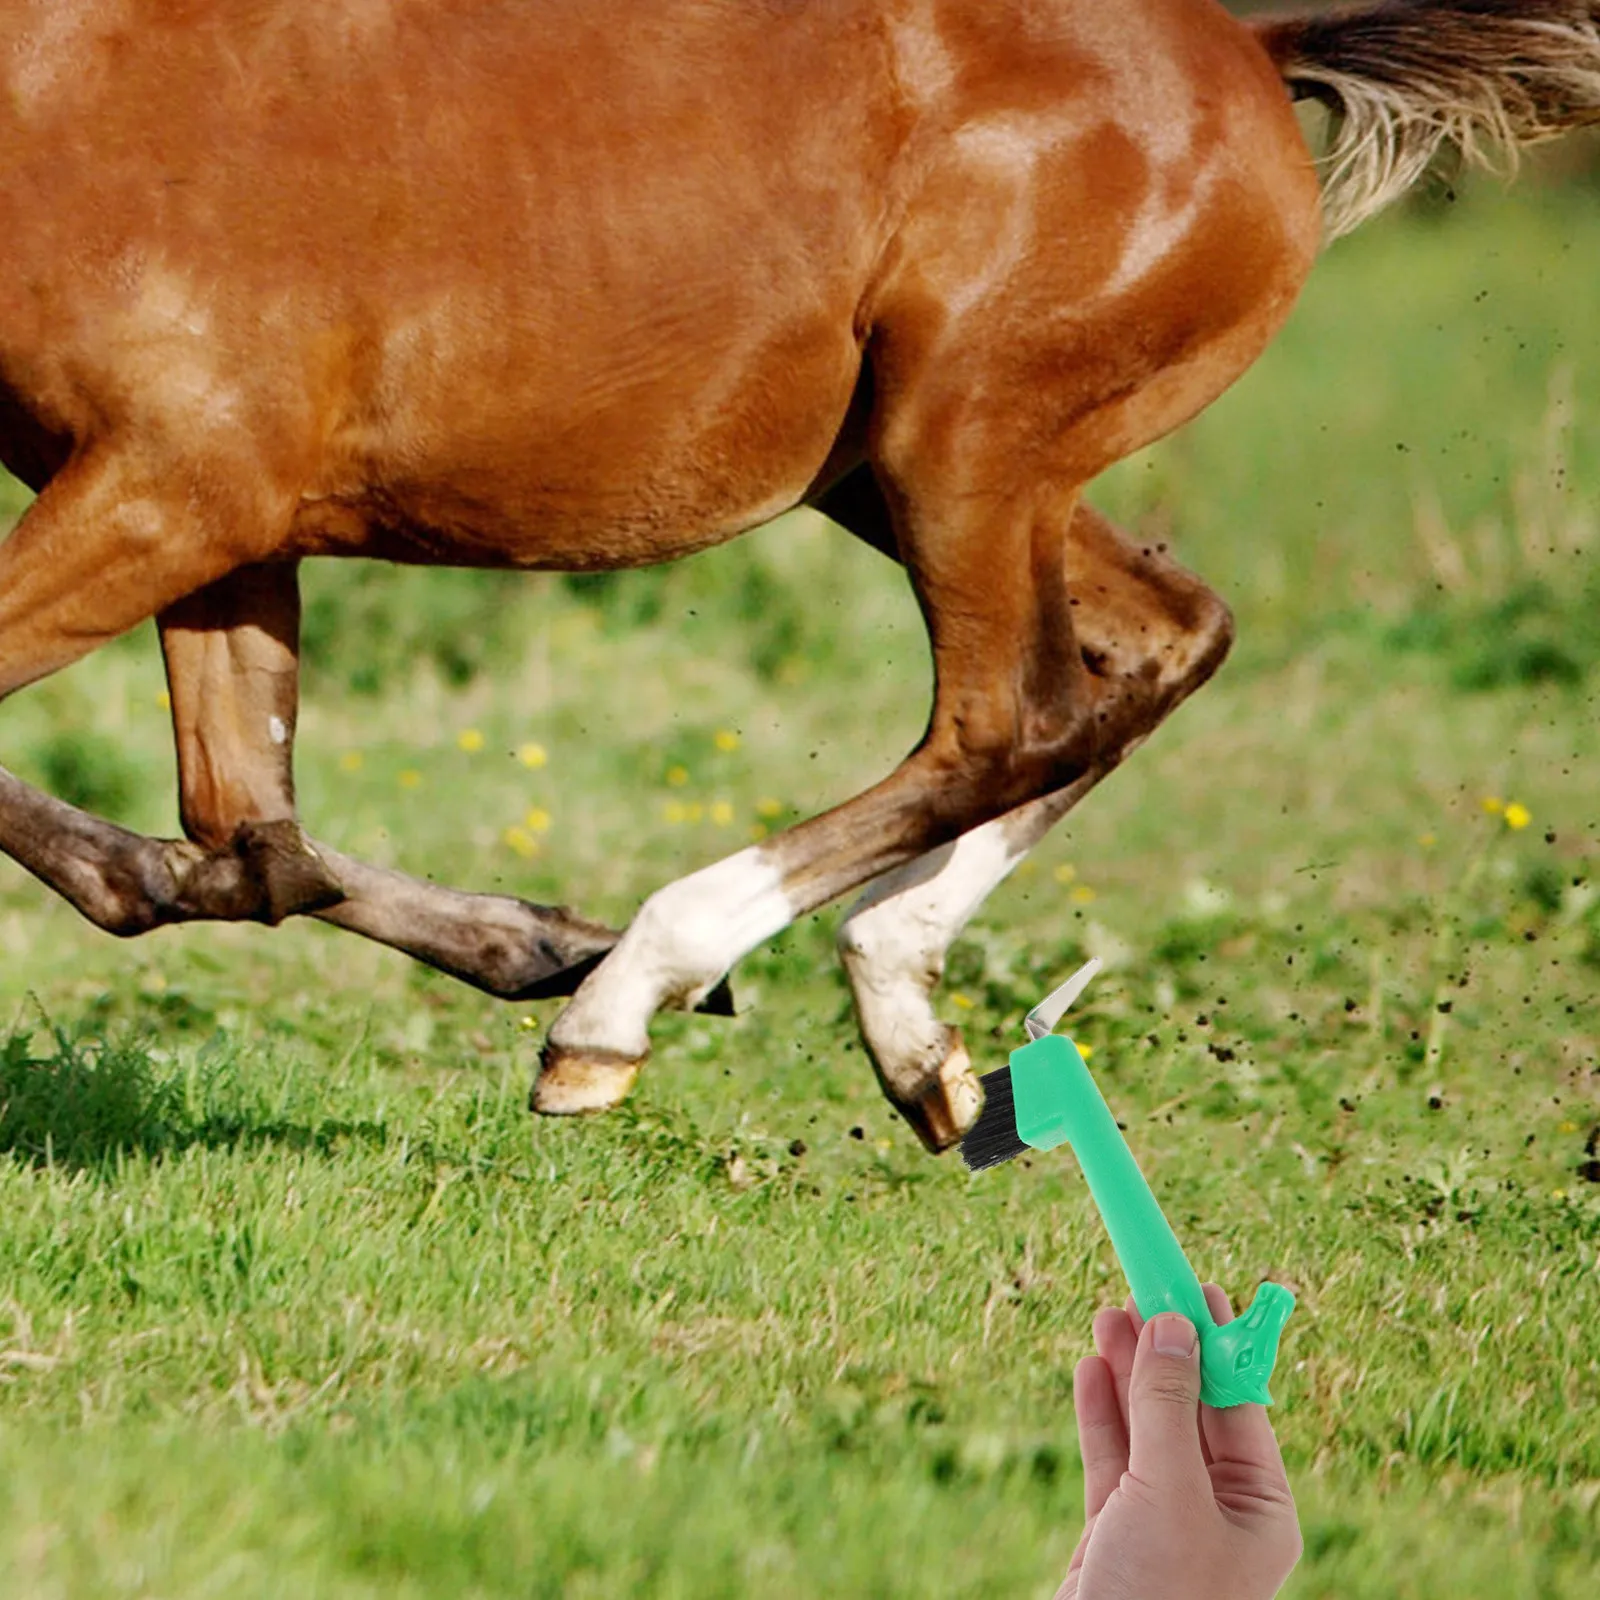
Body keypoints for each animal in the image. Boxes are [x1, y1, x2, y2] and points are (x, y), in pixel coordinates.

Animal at [1, 0, 1597, 1153]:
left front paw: (575, 967)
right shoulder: (226, 516)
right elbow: (243, 835)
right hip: (913, 470)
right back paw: (902, 1022)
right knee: (1159, 644)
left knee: (1011, 718)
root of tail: (1254, 52)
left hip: (963, 435)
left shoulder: (178, 487)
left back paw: (642, 993)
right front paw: (529, 939)